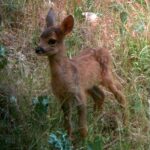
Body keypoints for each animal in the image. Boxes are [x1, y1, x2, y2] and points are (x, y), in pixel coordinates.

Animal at [35, 8, 126, 139]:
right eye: (40, 37)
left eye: (52, 40)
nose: (38, 49)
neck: (63, 78)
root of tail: (104, 50)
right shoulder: (62, 97)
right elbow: (67, 122)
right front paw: (68, 138)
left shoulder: (78, 94)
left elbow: (82, 125)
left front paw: (84, 139)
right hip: (90, 84)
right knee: (100, 95)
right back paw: (96, 120)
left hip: (106, 76)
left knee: (119, 92)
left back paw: (124, 123)